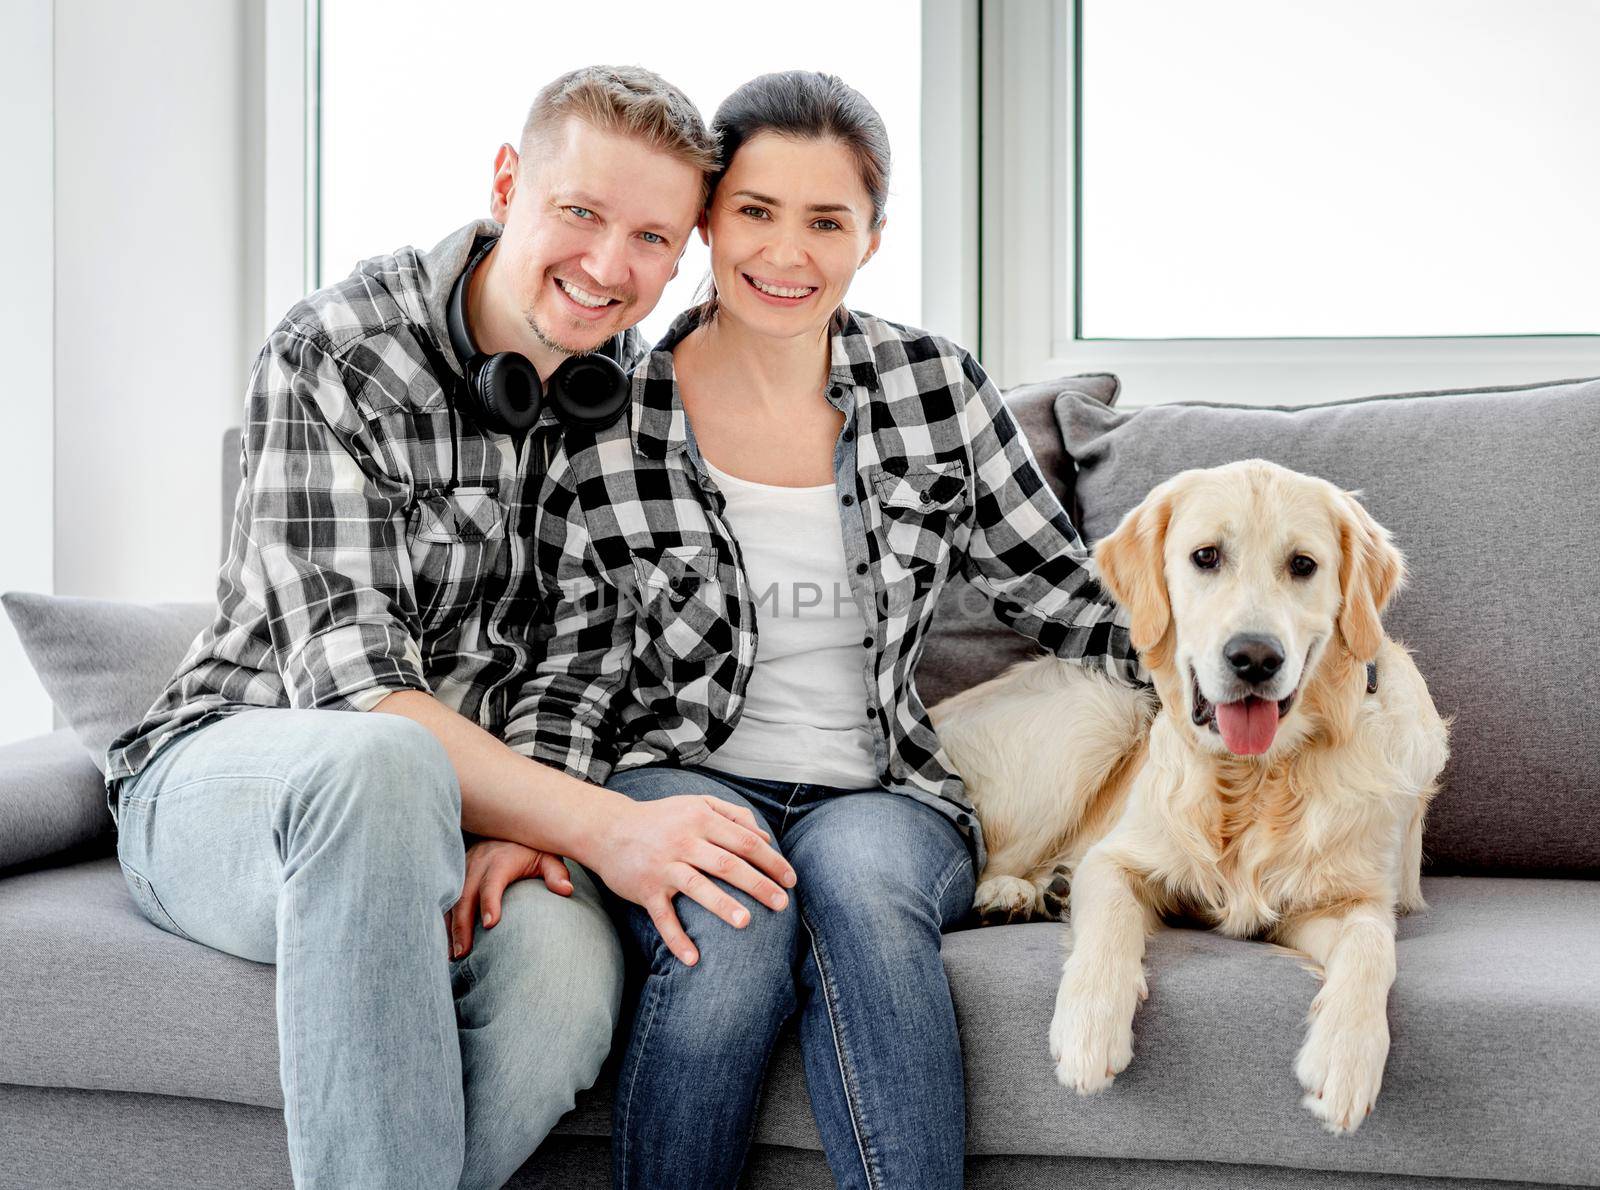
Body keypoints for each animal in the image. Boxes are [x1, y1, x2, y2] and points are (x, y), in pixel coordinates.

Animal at [934, 457, 1452, 1132]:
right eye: (1206, 557)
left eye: (1303, 565)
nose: (1254, 657)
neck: (1256, 778)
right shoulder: (1117, 856)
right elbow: (1109, 922)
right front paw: (1088, 1029)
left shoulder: (1345, 900)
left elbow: (1372, 946)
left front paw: (1345, 1059)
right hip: (1101, 709)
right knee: (986, 857)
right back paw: (1013, 894)